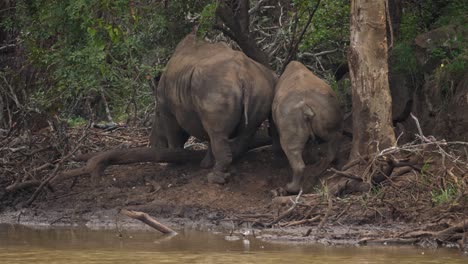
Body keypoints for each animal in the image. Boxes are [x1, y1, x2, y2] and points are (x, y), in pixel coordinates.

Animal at [150, 32, 276, 184]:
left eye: (157, 115)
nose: (152, 144)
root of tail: (243, 75)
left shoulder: (167, 110)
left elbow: (174, 134)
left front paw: (173, 162)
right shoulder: (202, 110)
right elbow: (209, 136)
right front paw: (205, 164)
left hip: (216, 87)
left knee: (218, 134)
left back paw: (215, 179)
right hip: (259, 86)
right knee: (243, 132)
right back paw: (229, 166)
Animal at [270, 62, 344, 194]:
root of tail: (305, 107)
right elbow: (311, 143)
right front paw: (312, 160)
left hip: (290, 116)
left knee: (289, 147)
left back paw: (290, 188)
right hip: (327, 106)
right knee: (332, 134)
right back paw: (330, 163)